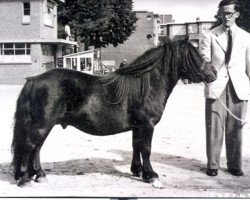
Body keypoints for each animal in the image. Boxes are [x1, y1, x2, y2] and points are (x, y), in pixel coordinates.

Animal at [11, 38, 216, 186]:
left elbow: (136, 146)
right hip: (42, 125)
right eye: (194, 56)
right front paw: (151, 175)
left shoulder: (138, 127)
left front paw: (137, 170)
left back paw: (38, 174)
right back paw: (25, 178)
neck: (148, 85)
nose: (213, 73)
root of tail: (34, 79)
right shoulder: (147, 125)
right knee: (30, 146)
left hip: (45, 125)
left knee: (36, 148)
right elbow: (146, 149)